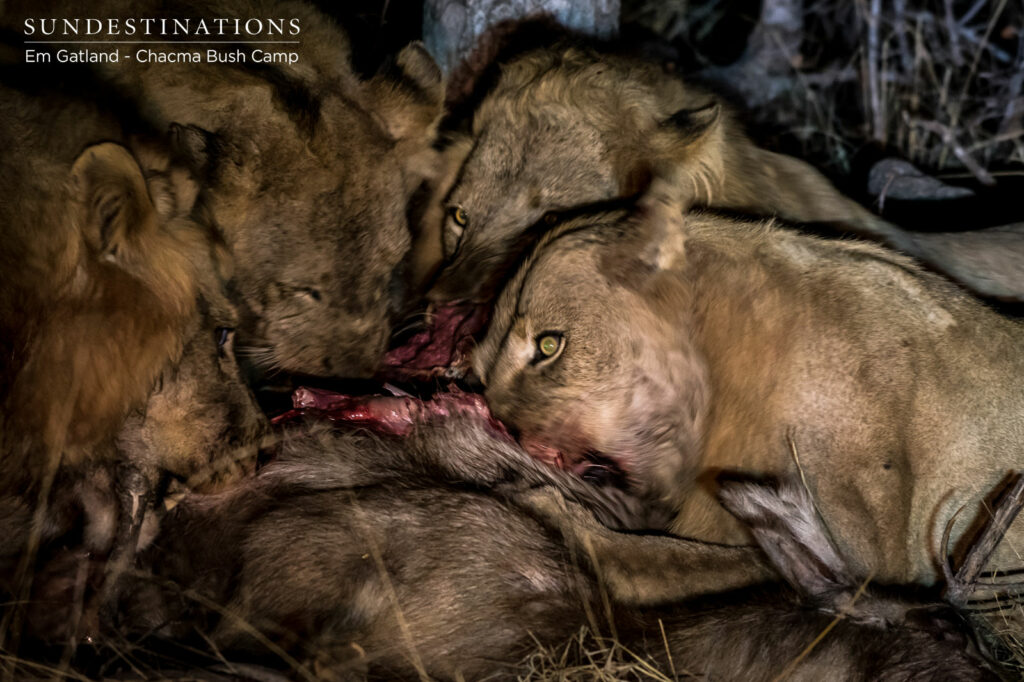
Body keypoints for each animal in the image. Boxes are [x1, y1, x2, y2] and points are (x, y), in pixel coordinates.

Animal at [474, 177, 1024, 588]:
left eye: (548, 345)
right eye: (482, 376)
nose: (506, 426)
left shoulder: (865, 547)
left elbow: (664, 560)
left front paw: (540, 506)